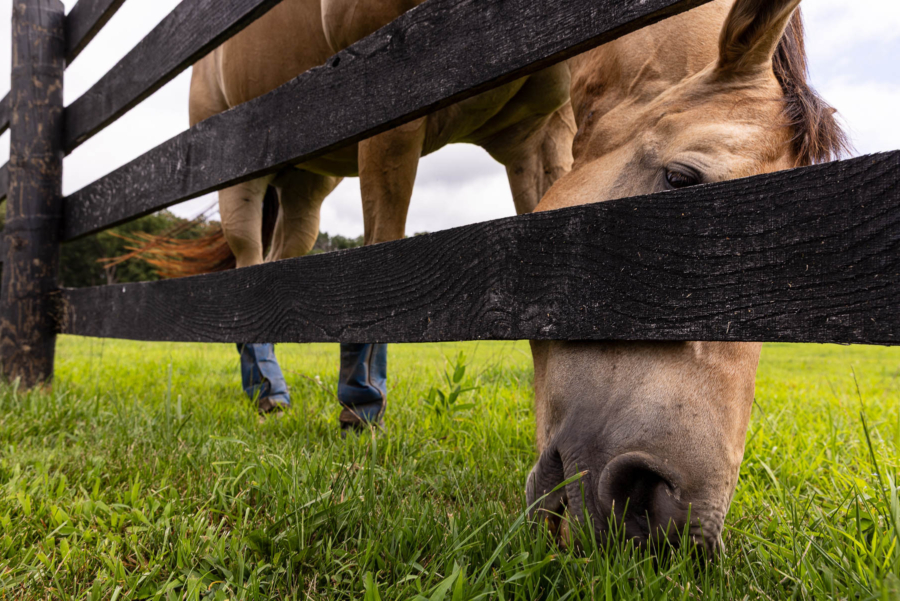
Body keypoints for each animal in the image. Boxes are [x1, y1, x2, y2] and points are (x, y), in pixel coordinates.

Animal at [150, 0, 845, 552]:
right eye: (680, 180)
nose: (669, 517)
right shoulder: (391, 110)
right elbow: (381, 249)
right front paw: (361, 408)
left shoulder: (538, 134)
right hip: (241, 168)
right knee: (247, 259)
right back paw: (266, 389)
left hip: (306, 179)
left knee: (278, 262)